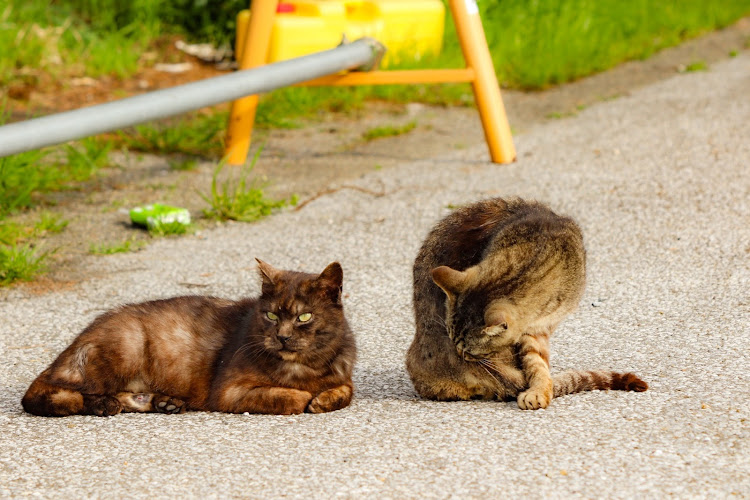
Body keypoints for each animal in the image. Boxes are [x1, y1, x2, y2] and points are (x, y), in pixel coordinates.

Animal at [20, 260, 356, 416]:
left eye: (304, 317)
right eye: (271, 316)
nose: (282, 337)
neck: (304, 367)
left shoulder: (344, 376)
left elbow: (345, 391)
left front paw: (324, 398)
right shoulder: (229, 392)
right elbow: (292, 396)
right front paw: (307, 397)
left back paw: (163, 403)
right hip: (127, 345)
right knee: (47, 391)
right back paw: (104, 404)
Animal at [408, 197, 648, 408]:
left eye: (470, 352)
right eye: (459, 347)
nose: (460, 355)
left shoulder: (540, 328)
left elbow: (537, 363)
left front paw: (540, 390)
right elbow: (537, 363)